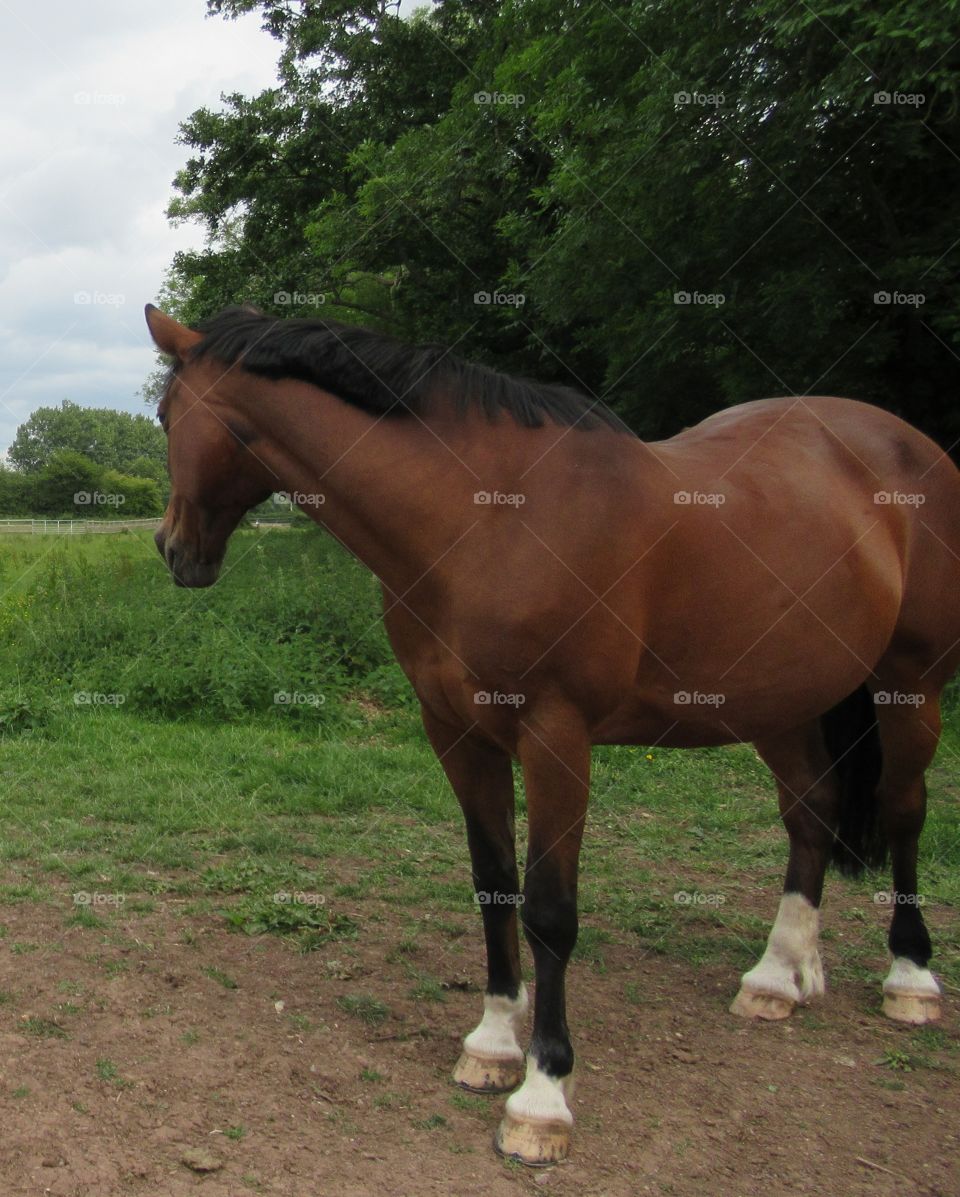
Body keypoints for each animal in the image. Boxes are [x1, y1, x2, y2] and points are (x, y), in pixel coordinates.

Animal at [144, 304, 957, 1163]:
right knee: (811, 813)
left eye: (165, 415)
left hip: (912, 685)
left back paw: (910, 976)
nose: (172, 547)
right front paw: (494, 1043)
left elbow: (549, 910)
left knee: (904, 810)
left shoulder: (556, 736)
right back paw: (778, 976)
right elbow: (493, 882)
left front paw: (542, 1094)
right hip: (784, 700)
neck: (487, 517)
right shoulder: (457, 732)